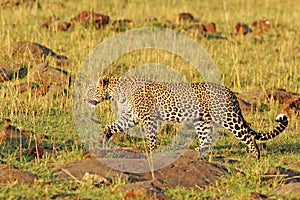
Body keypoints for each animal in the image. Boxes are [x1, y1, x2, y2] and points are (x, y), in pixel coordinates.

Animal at [86, 75, 288, 159]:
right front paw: (103, 138)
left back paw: (255, 155)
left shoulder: (148, 118)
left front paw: (149, 152)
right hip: (202, 122)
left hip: (228, 118)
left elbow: (150, 136)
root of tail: (230, 92)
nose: (84, 98)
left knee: (248, 136)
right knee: (207, 140)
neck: (116, 91)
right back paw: (197, 152)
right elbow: (113, 126)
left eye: (90, 90)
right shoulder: (130, 116)